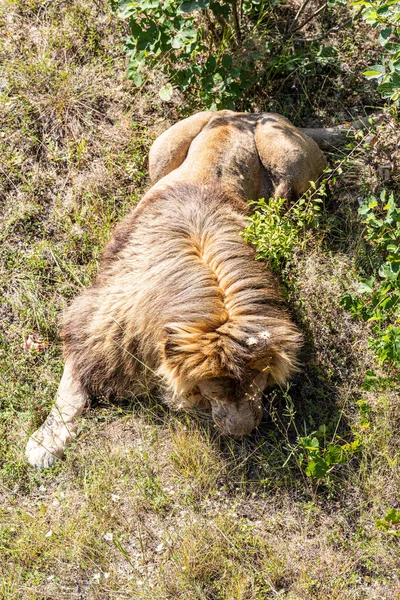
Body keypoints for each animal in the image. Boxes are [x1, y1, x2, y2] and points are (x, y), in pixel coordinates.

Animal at [25, 111, 326, 468]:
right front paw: (46, 441)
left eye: (259, 383)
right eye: (213, 390)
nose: (241, 433)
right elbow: (69, 389)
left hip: (291, 163)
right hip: (161, 151)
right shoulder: (94, 324)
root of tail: (244, 113)